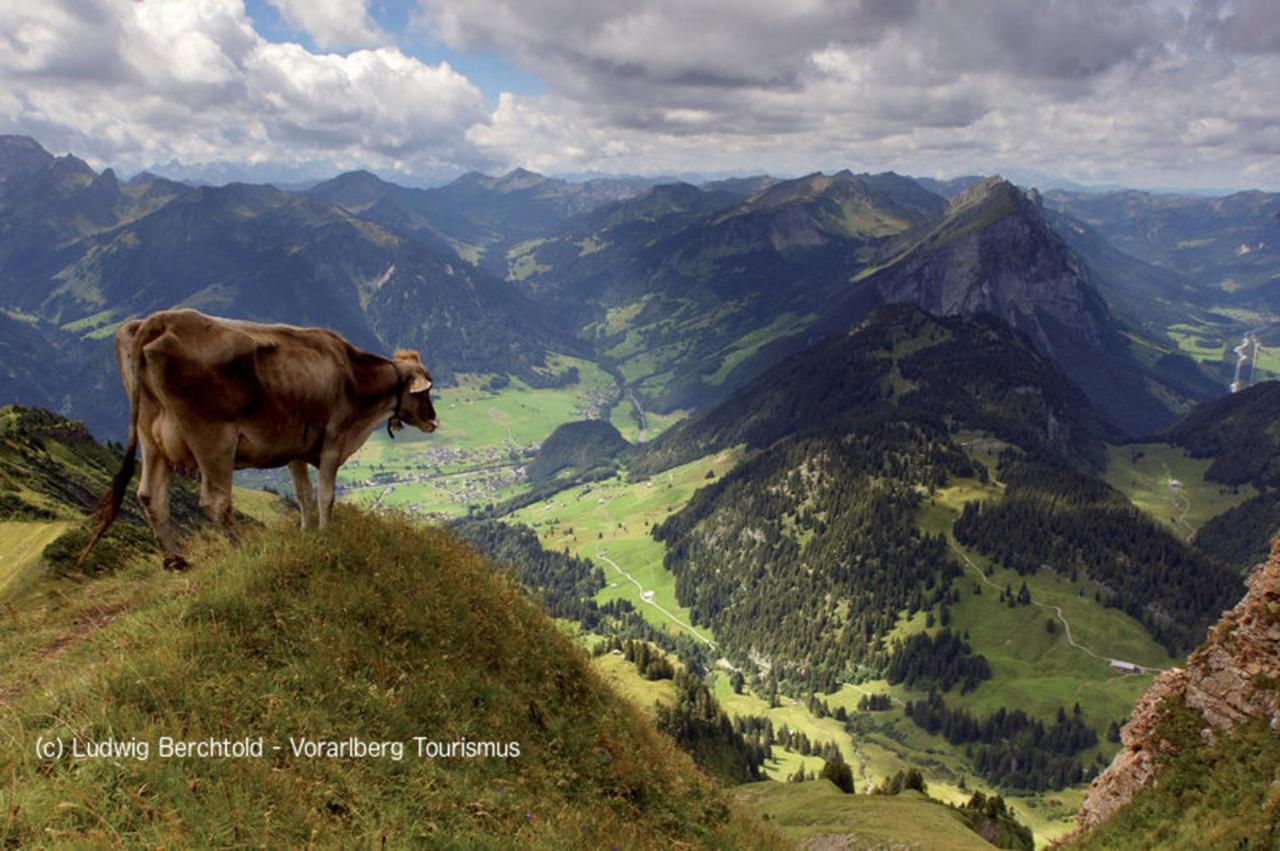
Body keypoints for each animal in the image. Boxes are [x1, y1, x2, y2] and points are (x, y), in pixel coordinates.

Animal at [82, 308, 440, 568]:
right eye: (425, 390)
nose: (434, 420)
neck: (353, 374)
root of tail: (159, 321)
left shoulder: (296, 447)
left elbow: (303, 494)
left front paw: (307, 532)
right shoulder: (333, 440)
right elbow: (326, 495)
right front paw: (327, 533)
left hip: (152, 438)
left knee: (150, 496)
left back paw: (175, 559)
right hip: (213, 438)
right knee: (215, 501)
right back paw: (241, 549)